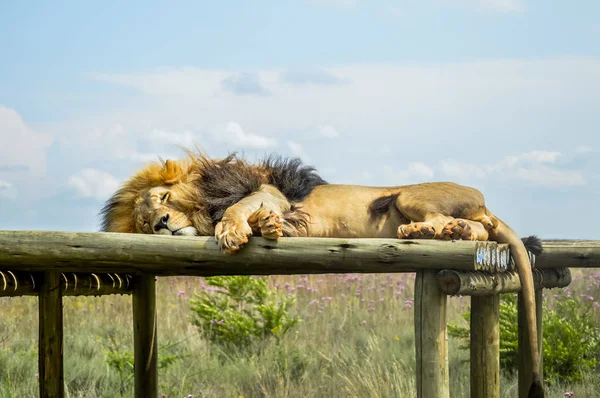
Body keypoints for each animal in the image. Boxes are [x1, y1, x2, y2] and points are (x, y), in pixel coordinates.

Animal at [102, 151, 544, 396]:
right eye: (143, 223)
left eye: (163, 198)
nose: (161, 223)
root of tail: (483, 202)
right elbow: (260, 217)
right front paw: (266, 226)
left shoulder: (267, 192)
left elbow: (237, 209)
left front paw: (234, 230)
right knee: (475, 229)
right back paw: (443, 232)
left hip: (408, 195)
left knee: (456, 224)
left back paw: (431, 232)